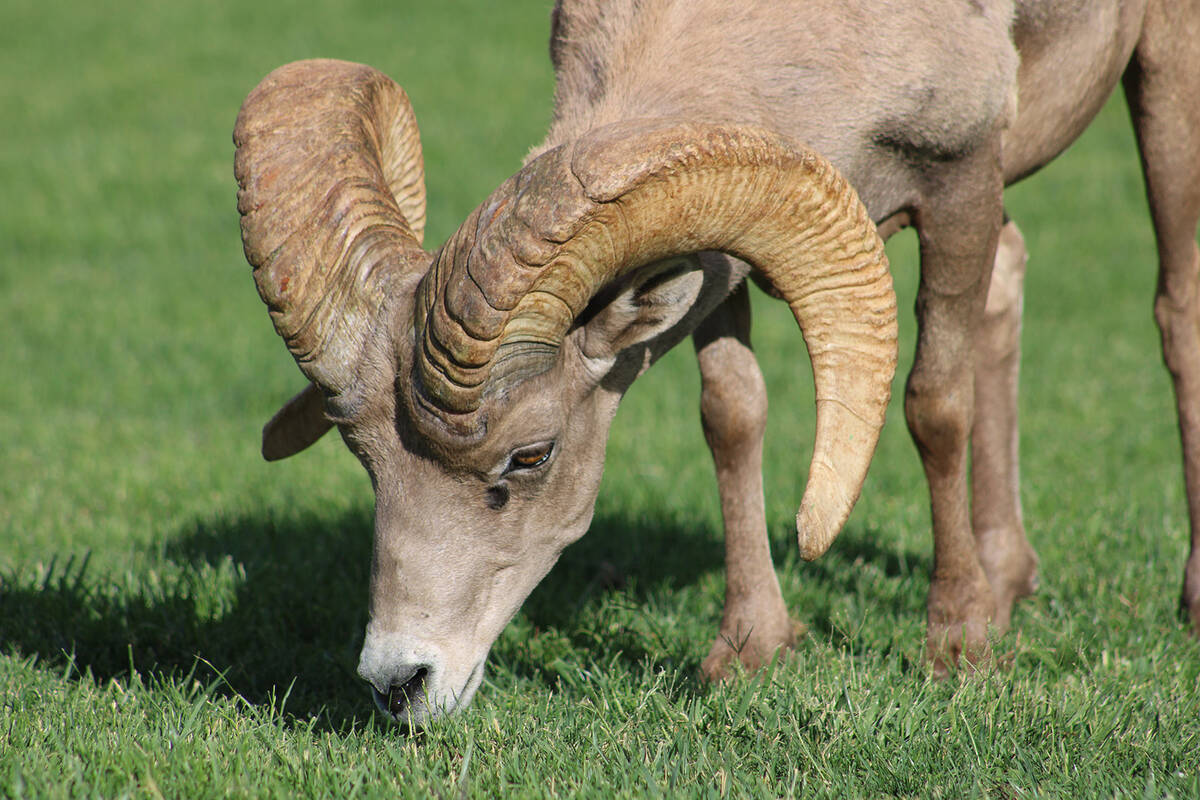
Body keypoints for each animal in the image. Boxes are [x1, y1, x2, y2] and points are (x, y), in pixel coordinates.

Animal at [234, 0, 1200, 724]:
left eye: (530, 455)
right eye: (366, 458)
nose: (399, 683)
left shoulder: (959, 178)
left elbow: (934, 404)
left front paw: (958, 645)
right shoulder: (722, 269)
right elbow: (732, 415)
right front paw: (750, 650)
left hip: (1162, 75)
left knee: (1175, 316)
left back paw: (1176, 602)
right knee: (1008, 290)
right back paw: (1010, 581)